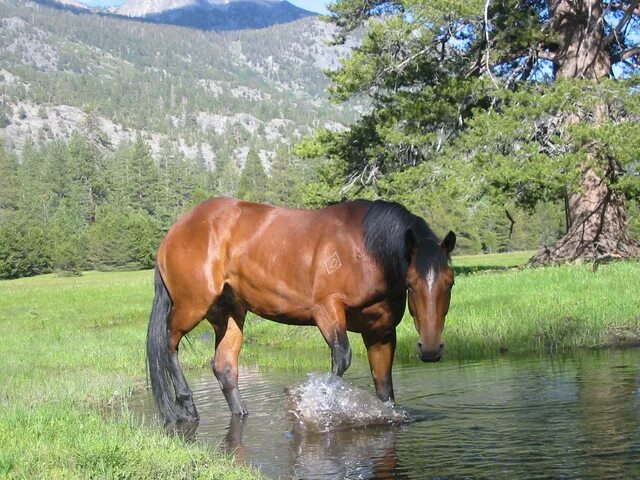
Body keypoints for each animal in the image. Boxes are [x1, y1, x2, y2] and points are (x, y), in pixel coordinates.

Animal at [148, 197, 456, 422]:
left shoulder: (380, 332)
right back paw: (186, 406)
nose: (430, 349)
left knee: (223, 366)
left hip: (229, 314)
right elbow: (341, 359)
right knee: (168, 343)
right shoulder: (327, 309)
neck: (365, 251)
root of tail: (176, 230)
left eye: (450, 283)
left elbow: (385, 388)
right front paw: (318, 408)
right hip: (192, 305)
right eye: (411, 283)